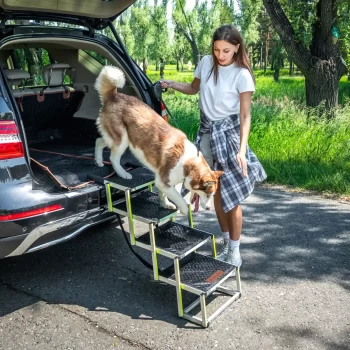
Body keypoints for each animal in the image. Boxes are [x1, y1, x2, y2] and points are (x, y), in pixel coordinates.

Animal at [94, 65, 223, 213]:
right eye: (208, 194)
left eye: (212, 195)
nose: (208, 208)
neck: (188, 163)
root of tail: (114, 95)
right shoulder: (164, 181)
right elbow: (180, 200)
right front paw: (184, 210)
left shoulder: (165, 182)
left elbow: (164, 194)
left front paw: (165, 204)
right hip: (122, 140)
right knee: (113, 158)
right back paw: (122, 173)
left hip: (114, 137)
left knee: (99, 141)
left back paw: (99, 161)